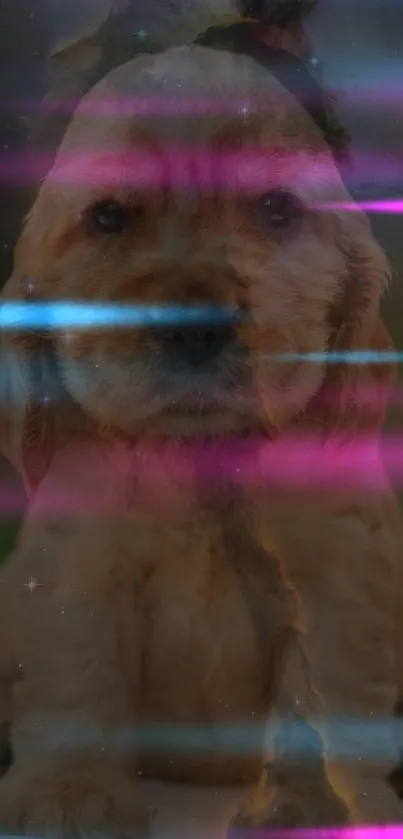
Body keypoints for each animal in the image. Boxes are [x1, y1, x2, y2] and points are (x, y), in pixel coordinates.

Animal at [0, 42, 403, 836]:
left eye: (277, 209)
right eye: (109, 216)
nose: (195, 326)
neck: (201, 452)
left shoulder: (332, 574)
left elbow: (314, 692)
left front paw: (305, 802)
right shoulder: (73, 565)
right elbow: (73, 672)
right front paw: (67, 793)